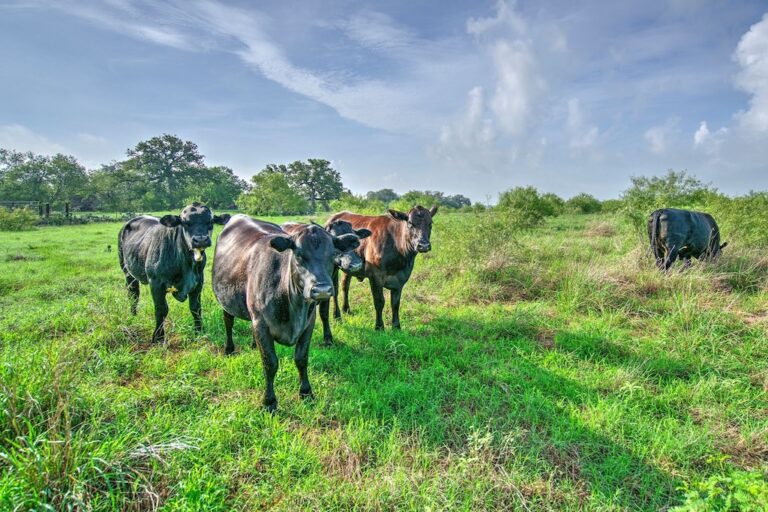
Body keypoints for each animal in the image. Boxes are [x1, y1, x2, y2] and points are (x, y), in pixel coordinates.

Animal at [118, 202, 230, 342]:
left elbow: (196, 308)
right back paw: (133, 315)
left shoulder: (198, 283)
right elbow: (161, 309)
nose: (201, 239)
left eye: (210, 221)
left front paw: (199, 331)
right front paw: (158, 337)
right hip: (127, 271)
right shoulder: (155, 283)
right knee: (133, 294)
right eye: (185, 222)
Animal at [212, 214, 362, 410]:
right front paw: (269, 401)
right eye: (298, 255)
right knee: (228, 321)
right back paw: (229, 349)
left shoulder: (308, 324)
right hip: (226, 300)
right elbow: (270, 363)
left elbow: (301, 359)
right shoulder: (261, 325)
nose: (322, 290)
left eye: (333, 254)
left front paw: (306, 392)